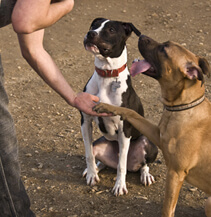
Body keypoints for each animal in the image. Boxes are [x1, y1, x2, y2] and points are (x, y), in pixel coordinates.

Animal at [81, 17, 157, 196]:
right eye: (94, 25)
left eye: (111, 30)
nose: (90, 33)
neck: (107, 75)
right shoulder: (85, 121)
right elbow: (88, 154)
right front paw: (92, 174)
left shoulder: (125, 129)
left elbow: (121, 165)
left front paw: (119, 186)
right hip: (99, 144)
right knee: (99, 159)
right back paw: (94, 169)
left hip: (149, 143)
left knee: (142, 164)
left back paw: (145, 175)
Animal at [94, 34, 211, 216]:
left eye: (164, 49)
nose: (141, 35)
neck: (184, 106)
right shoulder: (157, 134)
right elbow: (131, 112)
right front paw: (107, 106)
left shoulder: (175, 174)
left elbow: (167, 209)